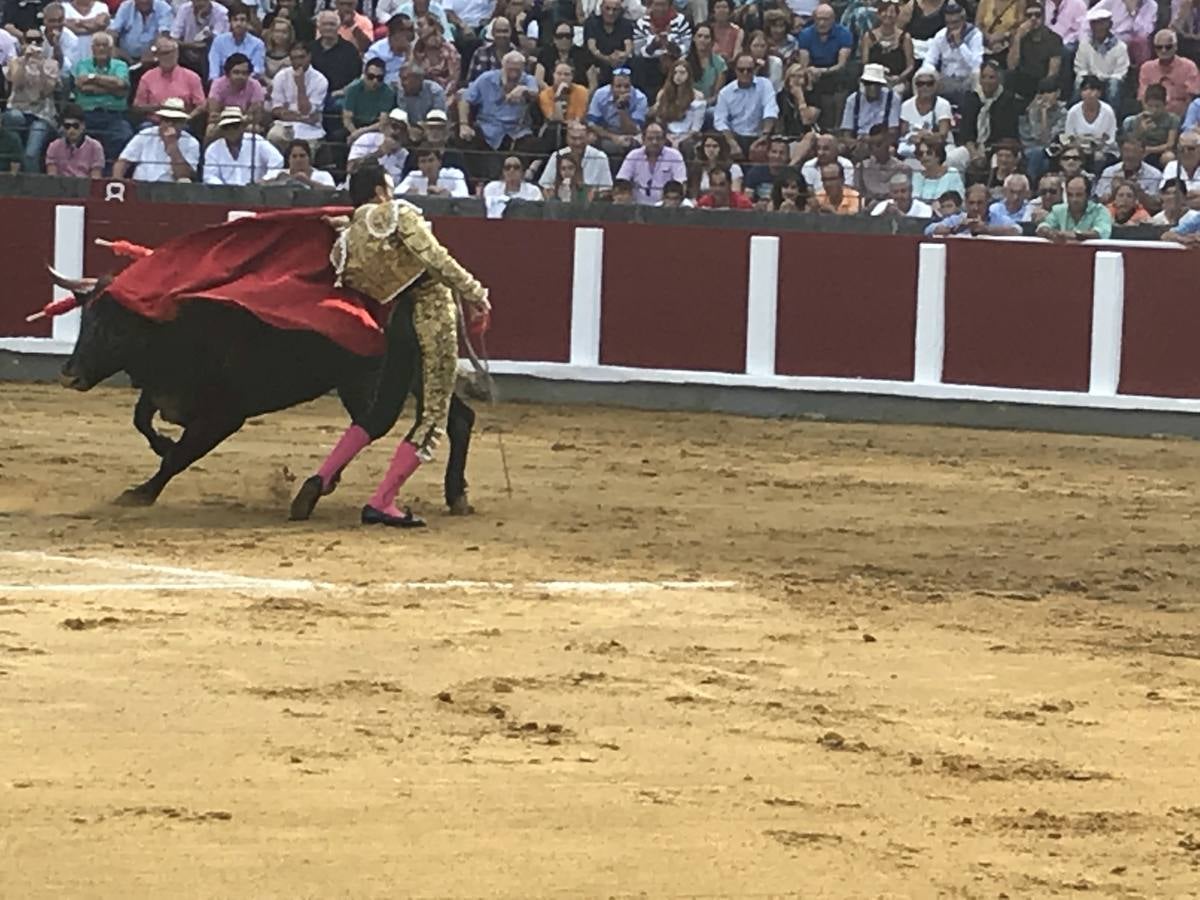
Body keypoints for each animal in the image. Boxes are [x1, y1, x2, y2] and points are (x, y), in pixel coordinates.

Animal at [52, 278, 472, 511]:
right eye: (86, 318)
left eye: (116, 327)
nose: (70, 374)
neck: (176, 327)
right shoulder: (163, 394)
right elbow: (142, 420)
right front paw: (161, 445)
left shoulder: (223, 416)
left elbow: (178, 457)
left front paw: (141, 493)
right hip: (389, 378)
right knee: (451, 418)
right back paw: (454, 495)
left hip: (378, 378)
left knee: (405, 420)